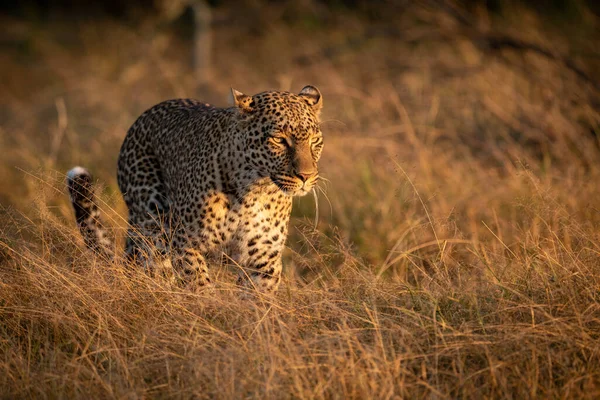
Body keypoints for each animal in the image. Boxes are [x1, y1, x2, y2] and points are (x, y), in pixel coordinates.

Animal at [67, 85, 324, 294]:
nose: (306, 176)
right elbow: (199, 285)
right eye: (279, 140)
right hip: (153, 226)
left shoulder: (263, 256)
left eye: (315, 140)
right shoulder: (186, 243)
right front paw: (209, 313)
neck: (255, 190)